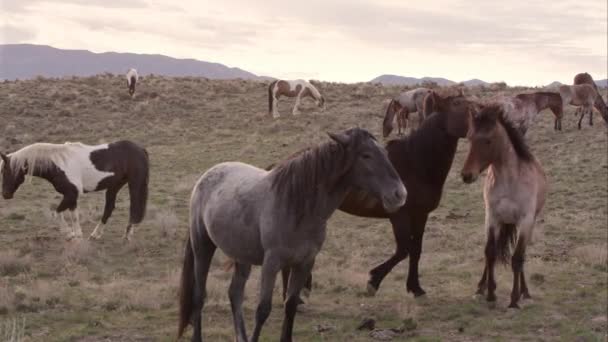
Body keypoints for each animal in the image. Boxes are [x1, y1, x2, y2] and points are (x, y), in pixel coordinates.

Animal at [1, 140, 149, 239]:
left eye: (5, 171)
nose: (5, 195)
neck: (59, 164)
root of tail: (140, 149)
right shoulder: (71, 196)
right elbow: (74, 215)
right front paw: (77, 234)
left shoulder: (71, 194)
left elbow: (57, 212)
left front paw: (68, 233)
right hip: (114, 185)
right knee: (109, 208)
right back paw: (96, 234)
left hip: (134, 184)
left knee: (135, 207)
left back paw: (127, 235)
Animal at [178, 128, 406, 342]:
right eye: (366, 155)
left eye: (384, 152)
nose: (400, 194)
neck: (297, 206)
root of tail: (207, 175)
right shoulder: (272, 262)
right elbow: (263, 309)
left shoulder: (304, 263)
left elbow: (291, 306)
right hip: (202, 247)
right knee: (199, 295)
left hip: (241, 255)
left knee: (235, 294)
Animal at [282, 91, 480, 300]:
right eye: (458, 103)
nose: (480, 115)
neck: (416, 161)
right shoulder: (399, 216)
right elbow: (403, 250)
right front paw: (373, 281)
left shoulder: (420, 215)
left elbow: (416, 250)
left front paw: (415, 288)